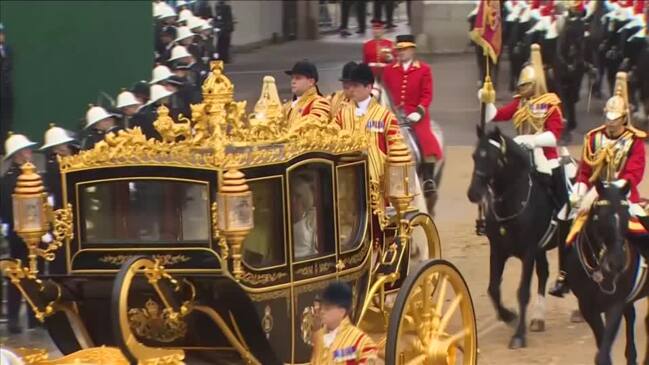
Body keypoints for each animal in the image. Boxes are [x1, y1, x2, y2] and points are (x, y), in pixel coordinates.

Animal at [466, 126, 556, 348]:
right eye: (474, 155)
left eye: (493, 157)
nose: (473, 193)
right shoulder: (498, 250)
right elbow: (493, 289)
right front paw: (509, 316)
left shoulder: (528, 252)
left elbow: (522, 292)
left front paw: (519, 335)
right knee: (544, 272)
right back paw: (538, 318)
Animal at [560, 182, 648, 364]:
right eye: (599, 217)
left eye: (626, 215)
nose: (617, 263)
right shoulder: (587, 307)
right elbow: (603, 350)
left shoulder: (614, 305)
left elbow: (603, 353)